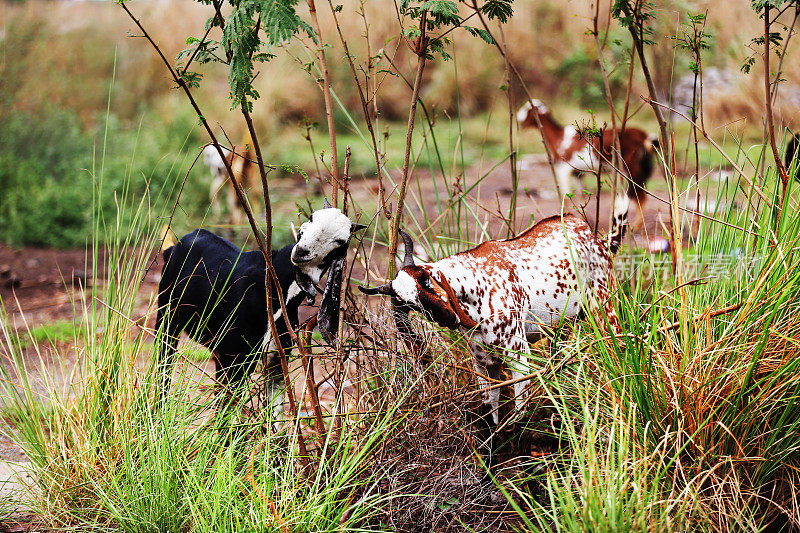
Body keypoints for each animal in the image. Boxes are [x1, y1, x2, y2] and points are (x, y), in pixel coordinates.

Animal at [154, 202, 366, 406]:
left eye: (340, 242)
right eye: (311, 218)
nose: (301, 251)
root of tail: (175, 246)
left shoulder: (275, 360)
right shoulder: (234, 356)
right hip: (167, 317)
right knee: (163, 367)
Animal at [360, 204, 628, 458]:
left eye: (426, 280)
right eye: (411, 305)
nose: (447, 317)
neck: (477, 285)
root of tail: (594, 236)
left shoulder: (520, 359)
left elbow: (520, 417)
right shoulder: (485, 365)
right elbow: (489, 416)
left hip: (606, 312)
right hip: (561, 329)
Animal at [516, 100, 660, 206]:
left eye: (528, 109)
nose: (518, 117)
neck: (559, 138)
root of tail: (645, 136)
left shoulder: (563, 169)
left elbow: (565, 198)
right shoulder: (577, 173)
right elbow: (580, 196)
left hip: (631, 168)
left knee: (639, 196)